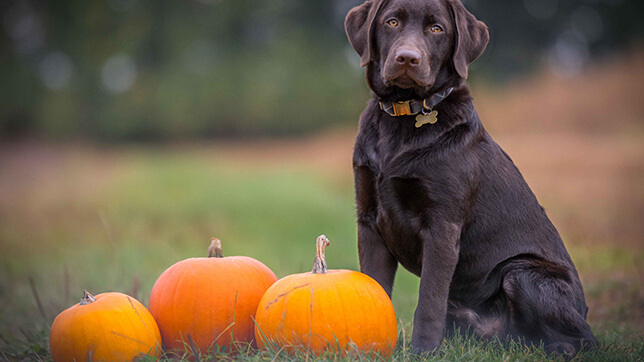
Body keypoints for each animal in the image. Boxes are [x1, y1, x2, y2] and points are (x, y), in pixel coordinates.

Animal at [344, 0, 596, 356]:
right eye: (391, 22)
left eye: (437, 29)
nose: (407, 58)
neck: (403, 120)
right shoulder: (369, 221)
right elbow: (375, 287)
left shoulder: (442, 225)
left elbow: (429, 299)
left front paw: (423, 351)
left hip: (521, 272)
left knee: (586, 338)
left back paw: (558, 348)